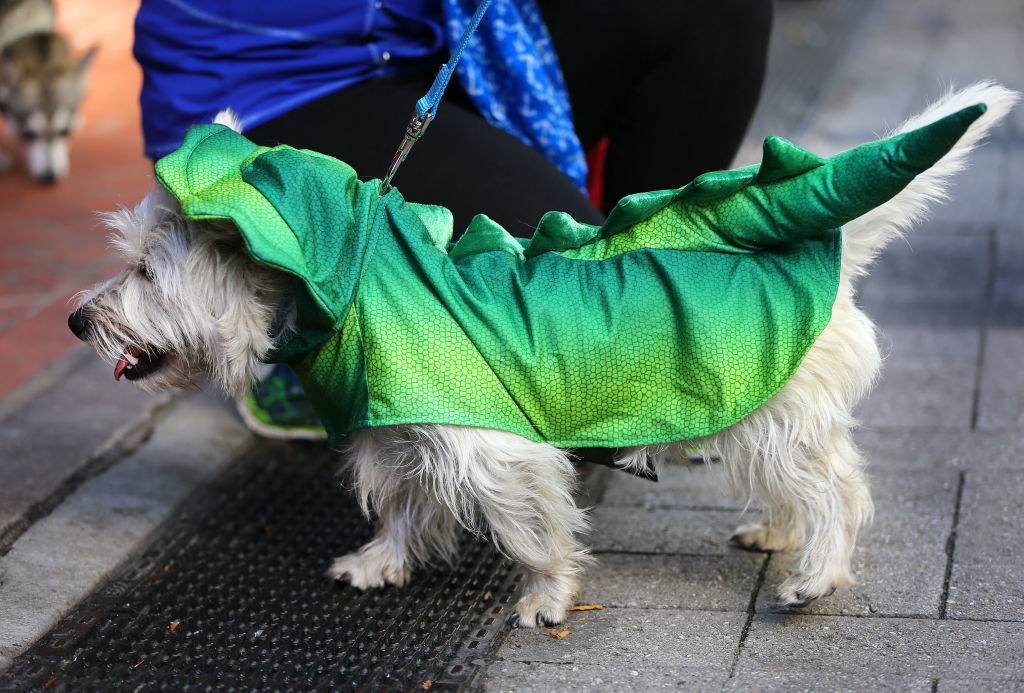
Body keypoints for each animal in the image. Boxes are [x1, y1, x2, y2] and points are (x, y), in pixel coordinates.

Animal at [70, 80, 1015, 626]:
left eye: (144, 270)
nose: (78, 321)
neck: (355, 285)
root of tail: (827, 253)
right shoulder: (409, 432)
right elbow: (404, 505)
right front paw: (379, 562)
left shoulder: (493, 451)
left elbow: (533, 530)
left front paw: (549, 595)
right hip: (763, 414)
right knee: (806, 482)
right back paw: (779, 533)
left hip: (773, 411)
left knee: (840, 490)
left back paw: (816, 575)